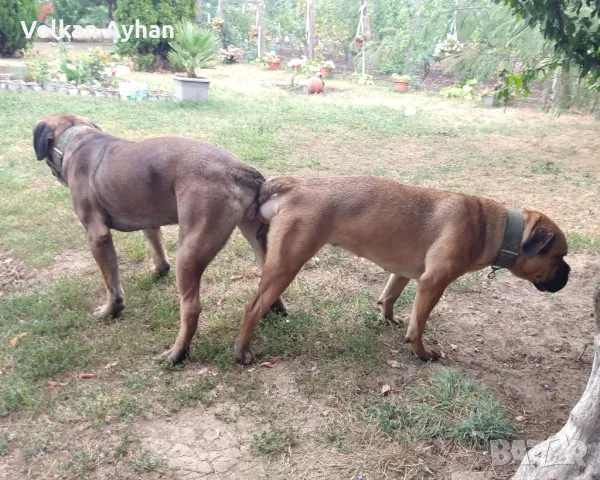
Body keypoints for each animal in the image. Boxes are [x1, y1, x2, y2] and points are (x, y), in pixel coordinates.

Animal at [34, 113, 284, 364]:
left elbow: (111, 283)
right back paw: (275, 311)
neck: (79, 138)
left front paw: (109, 311)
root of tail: (238, 169)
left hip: (189, 253)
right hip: (257, 240)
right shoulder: (149, 221)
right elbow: (156, 246)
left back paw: (177, 353)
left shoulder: (97, 236)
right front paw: (158, 270)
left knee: (191, 308)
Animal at [233, 176, 568, 364]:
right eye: (560, 256)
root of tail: (295, 183)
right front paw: (421, 352)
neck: (496, 230)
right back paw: (242, 352)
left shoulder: (405, 272)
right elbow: (419, 325)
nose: (568, 273)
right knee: (252, 309)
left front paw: (388, 318)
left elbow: (390, 295)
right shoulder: (433, 283)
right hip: (286, 266)